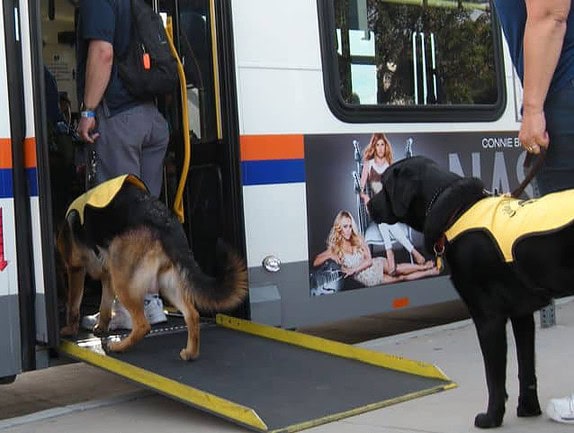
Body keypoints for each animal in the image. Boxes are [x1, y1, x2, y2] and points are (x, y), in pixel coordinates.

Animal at [57, 176, 249, 362]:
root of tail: (166, 223)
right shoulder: (107, 276)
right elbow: (105, 305)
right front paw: (102, 327)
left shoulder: (75, 269)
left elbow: (73, 304)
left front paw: (69, 329)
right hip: (166, 284)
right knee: (192, 314)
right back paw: (190, 353)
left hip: (124, 282)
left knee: (143, 325)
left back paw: (120, 347)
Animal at [368, 154, 574, 426]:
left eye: (384, 185)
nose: (368, 205)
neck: (455, 212)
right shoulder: (522, 314)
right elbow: (526, 366)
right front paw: (528, 408)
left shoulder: (487, 317)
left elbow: (493, 375)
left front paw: (492, 417)